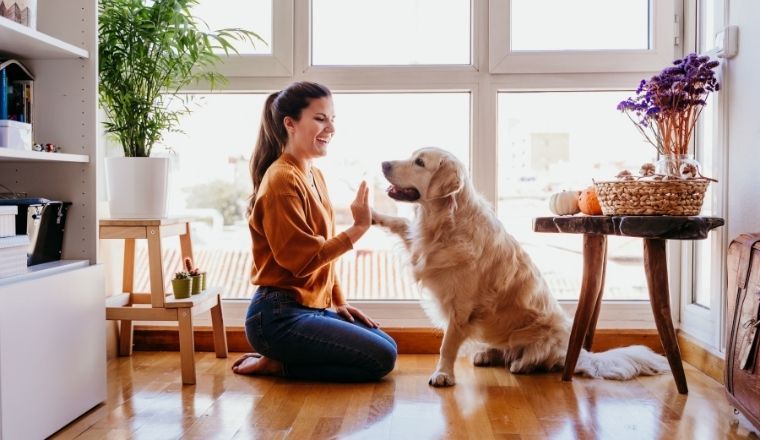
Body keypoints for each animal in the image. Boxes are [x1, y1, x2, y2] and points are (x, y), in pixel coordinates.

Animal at [372, 147, 668, 384]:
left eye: (419, 162)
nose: (383, 163)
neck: (445, 222)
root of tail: (579, 352)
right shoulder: (420, 246)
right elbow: (400, 223)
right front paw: (371, 214)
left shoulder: (461, 308)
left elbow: (447, 346)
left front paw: (443, 374)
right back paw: (486, 354)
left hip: (541, 336)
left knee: (539, 359)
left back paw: (521, 364)